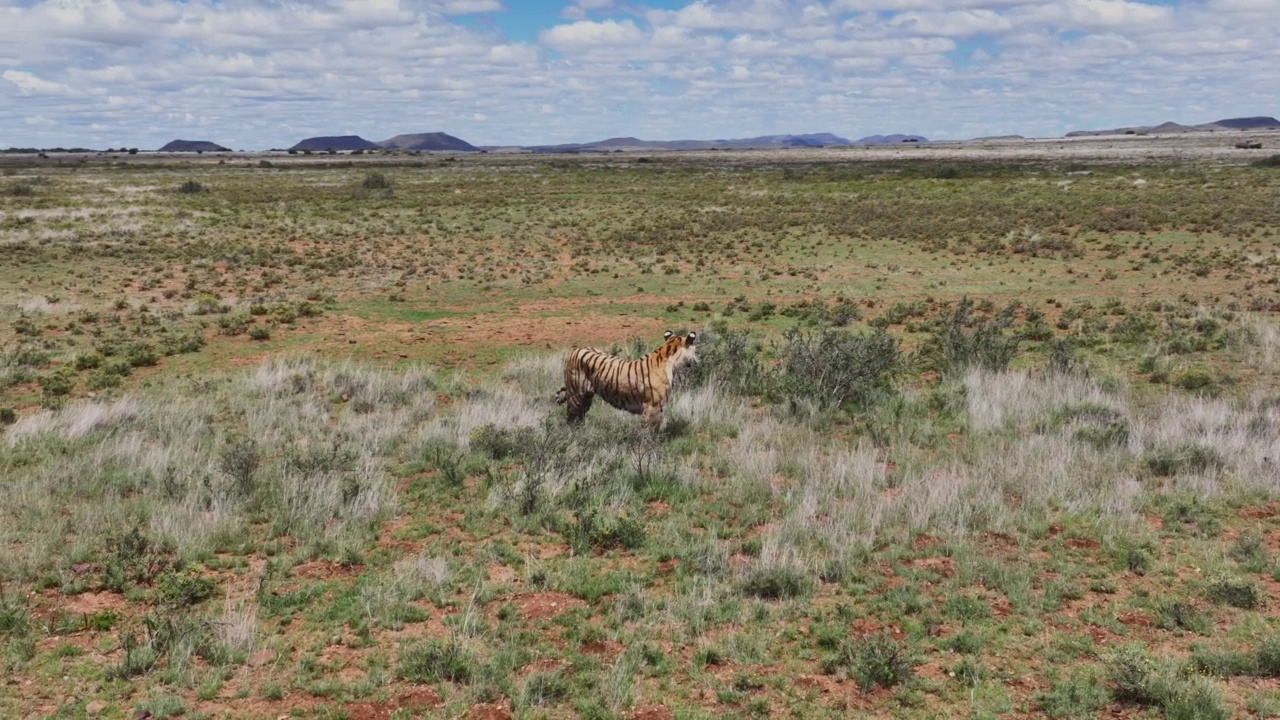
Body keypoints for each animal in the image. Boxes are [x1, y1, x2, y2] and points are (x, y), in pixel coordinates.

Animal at [555, 330, 701, 427]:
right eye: (695, 350)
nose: (697, 361)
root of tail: (575, 350)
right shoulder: (652, 408)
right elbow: (649, 434)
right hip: (576, 396)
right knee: (570, 419)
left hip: (586, 398)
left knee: (579, 417)